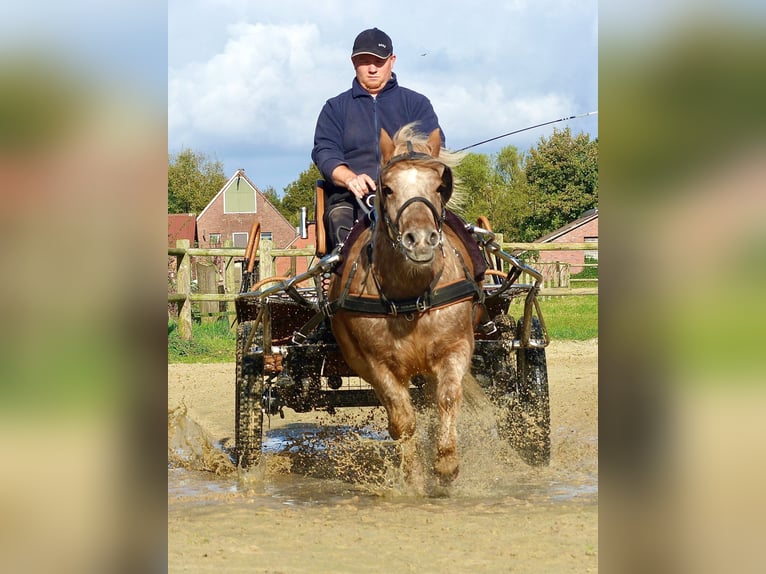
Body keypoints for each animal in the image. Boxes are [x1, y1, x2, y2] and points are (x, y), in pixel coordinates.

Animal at [328, 124, 484, 488]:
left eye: (441, 186)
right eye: (386, 189)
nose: (421, 240)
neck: (410, 295)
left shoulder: (456, 348)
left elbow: (447, 399)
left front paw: (445, 462)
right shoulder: (376, 364)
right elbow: (403, 420)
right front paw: (413, 477)